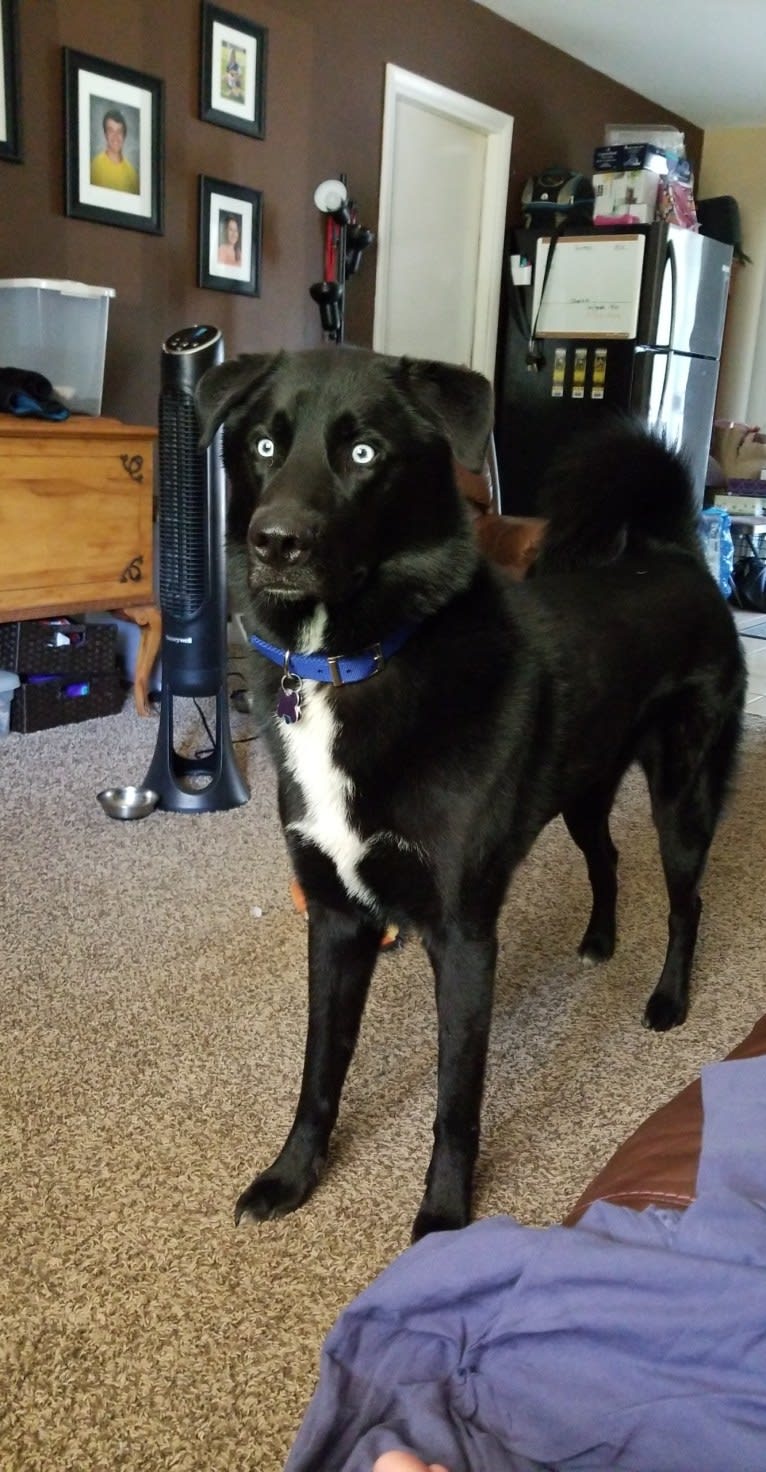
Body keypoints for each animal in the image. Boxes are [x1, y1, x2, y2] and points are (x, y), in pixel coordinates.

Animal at [194, 350, 745, 1236]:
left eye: (364, 454)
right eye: (264, 447)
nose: (273, 542)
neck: (358, 660)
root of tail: (671, 552)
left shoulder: (460, 934)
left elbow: (456, 1096)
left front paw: (446, 1216)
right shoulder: (336, 919)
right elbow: (320, 1072)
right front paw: (291, 1177)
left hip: (682, 797)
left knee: (685, 900)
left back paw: (668, 999)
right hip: (582, 789)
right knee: (607, 856)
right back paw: (599, 940)